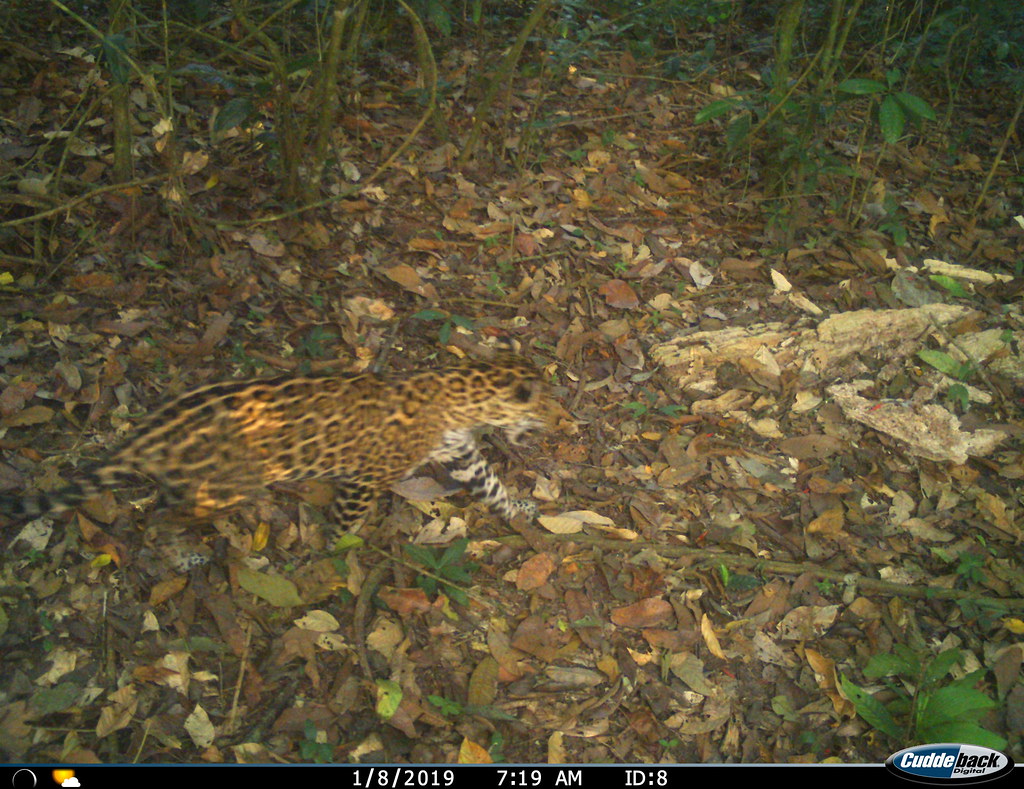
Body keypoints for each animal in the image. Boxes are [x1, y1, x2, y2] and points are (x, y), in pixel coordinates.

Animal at [2, 353, 554, 571]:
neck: (458, 398)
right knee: (158, 518)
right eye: (546, 406)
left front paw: (520, 510)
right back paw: (184, 557)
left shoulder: (461, 457)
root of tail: (149, 434)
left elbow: (490, 485)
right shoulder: (364, 479)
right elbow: (346, 522)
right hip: (224, 489)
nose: (559, 420)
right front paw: (337, 552)